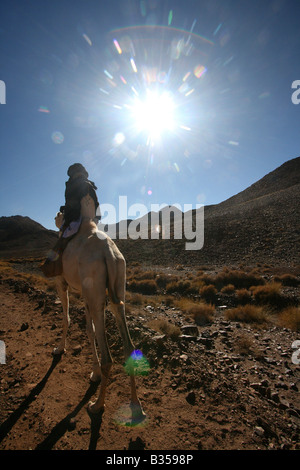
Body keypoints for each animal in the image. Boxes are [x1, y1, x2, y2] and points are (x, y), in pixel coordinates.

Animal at [51, 195, 145, 418]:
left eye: (61, 213)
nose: (55, 216)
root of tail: (109, 254)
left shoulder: (61, 282)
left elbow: (67, 318)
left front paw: (59, 348)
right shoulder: (86, 295)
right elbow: (89, 329)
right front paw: (93, 373)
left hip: (96, 293)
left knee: (108, 358)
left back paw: (97, 405)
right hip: (116, 287)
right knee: (128, 345)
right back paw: (136, 405)